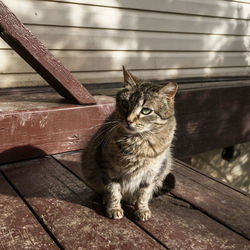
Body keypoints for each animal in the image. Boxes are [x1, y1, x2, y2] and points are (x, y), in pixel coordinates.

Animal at [82, 67, 178, 221]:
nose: (129, 120)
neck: (138, 144)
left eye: (146, 110)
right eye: (125, 104)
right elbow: (113, 190)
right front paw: (114, 208)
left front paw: (142, 209)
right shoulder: (108, 167)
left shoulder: (151, 173)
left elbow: (144, 193)